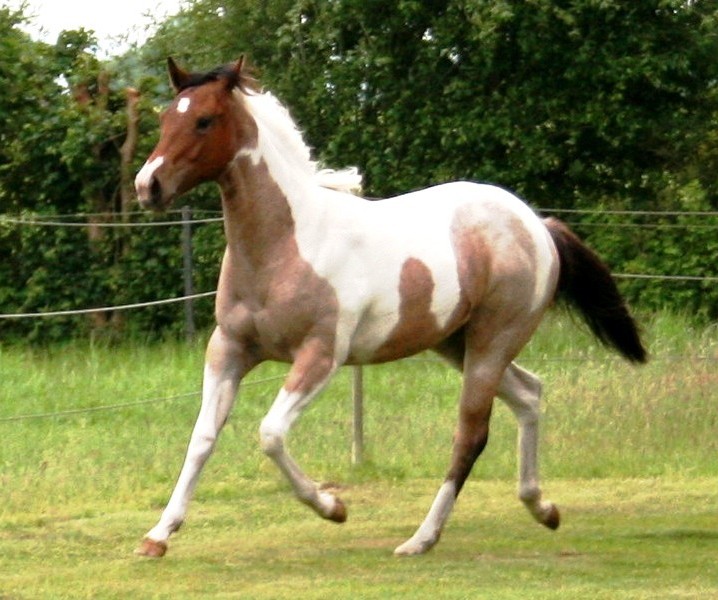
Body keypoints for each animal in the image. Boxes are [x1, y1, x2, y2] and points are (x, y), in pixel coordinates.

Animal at [133, 57, 646, 558]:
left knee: (471, 434)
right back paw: (542, 508)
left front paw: (333, 507)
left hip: (492, 342)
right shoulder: (229, 350)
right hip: (456, 343)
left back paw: (421, 539)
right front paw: (157, 536)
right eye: (165, 118)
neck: (284, 246)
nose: (147, 185)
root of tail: (536, 224)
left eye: (204, 120)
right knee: (529, 393)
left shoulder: (320, 355)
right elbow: (202, 437)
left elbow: (271, 434)